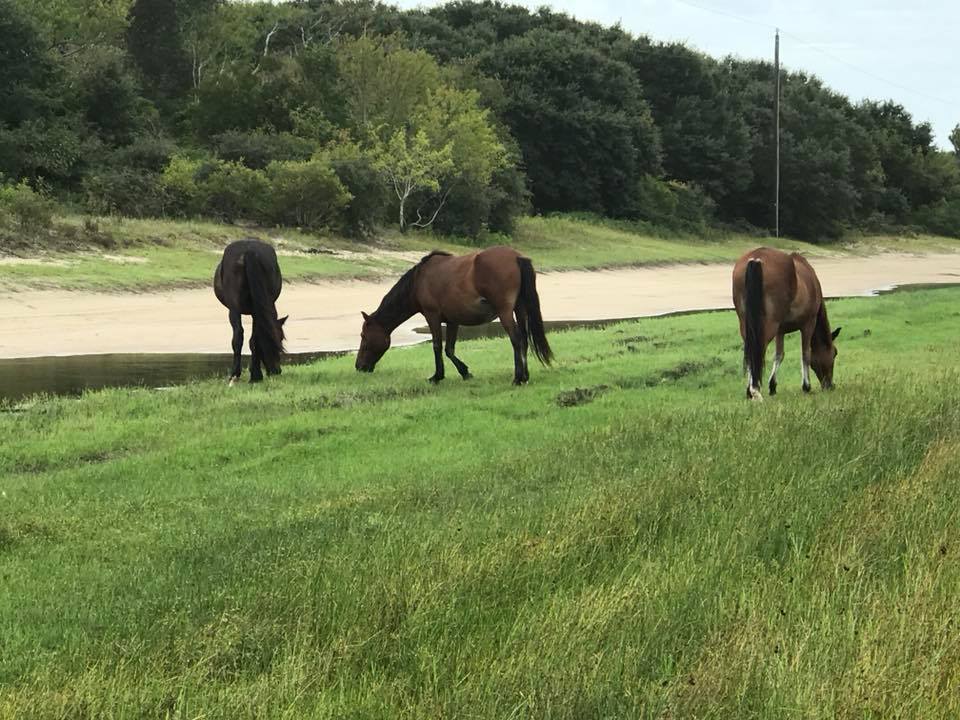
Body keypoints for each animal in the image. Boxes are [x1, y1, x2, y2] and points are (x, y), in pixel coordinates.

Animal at [212, 239, 284, 382]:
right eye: (280, 340)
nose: (277, 371)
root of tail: (249, 251)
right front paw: (255, 374)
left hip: (234, 308)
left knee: (238, 335)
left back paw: (237, 374)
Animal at [354, 246, 552, 386]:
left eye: (364, 336)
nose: (359, 366)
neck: (418, 281)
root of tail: (516, 257)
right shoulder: (452, 321)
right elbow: (449, 349)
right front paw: (465, 372)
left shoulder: (432, 316)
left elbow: (437, 346)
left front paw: (437, 376)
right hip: (519, 308)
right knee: (524, 339)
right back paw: (525, 376)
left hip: (505, 312)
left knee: (516, 339)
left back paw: (518, 378)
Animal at [736, 249, 840, 400]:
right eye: (834, 353)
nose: (830, 385)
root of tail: (756, 258)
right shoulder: (808, 324)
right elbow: (805, 354)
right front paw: (806, 386)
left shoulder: (781, 330)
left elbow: (779, 354)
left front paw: (772, 386)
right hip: (768, 326)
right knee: (758, 349)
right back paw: (755, 390)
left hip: (746, 324)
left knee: (750, 350)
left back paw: (750, 391)